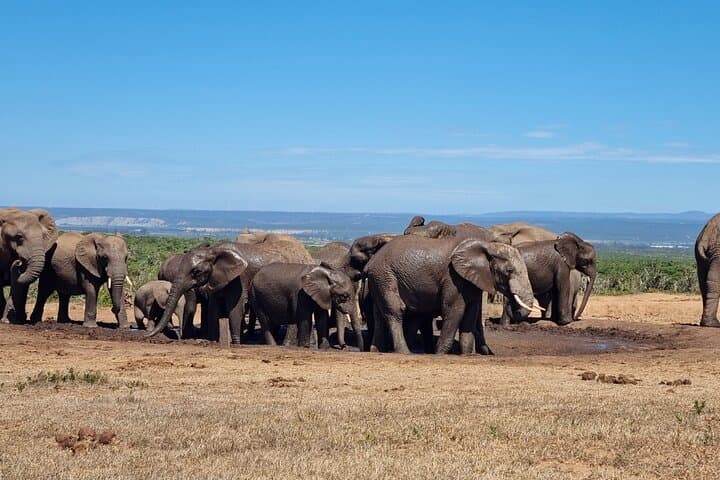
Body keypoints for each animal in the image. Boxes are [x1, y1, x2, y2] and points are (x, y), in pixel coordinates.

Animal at [147, 236, 314, 344]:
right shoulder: (218, 278)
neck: (215, 251)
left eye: (196, 272)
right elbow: (213, 308)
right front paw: (212, 341)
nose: (147, 336)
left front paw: (236, 343)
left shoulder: (239, 278)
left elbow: (235, 308)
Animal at [365, 235, 539, 354]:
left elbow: (470, 315)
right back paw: (405, 353)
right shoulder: (453, 278)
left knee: (380, 313)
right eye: (509, 271)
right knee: (396, 311)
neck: (487, 246)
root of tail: (370, 263)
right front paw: (440, 354)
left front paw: (466, 355)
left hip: (379, 279)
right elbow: (454, 311)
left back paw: (376, 351)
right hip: (385, 276)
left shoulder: (472, 282)